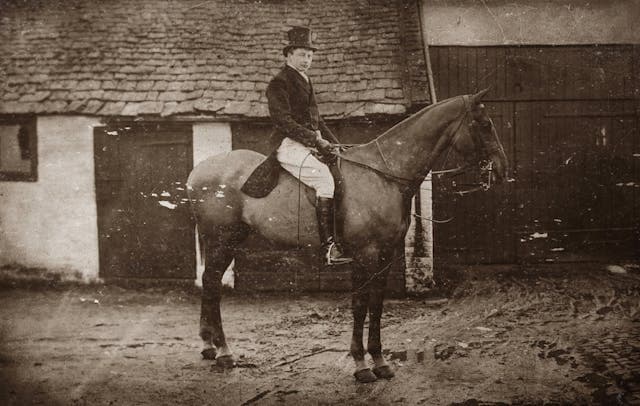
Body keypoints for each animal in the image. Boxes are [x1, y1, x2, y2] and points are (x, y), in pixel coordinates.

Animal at [186, 87, 510, 382]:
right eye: (484, 124)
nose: (502, 170)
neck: (383, 175)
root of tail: (198, 171)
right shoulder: (364, 255)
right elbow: (359, 306)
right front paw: (361, 365)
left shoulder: (386, 255)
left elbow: (376, 306)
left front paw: (380, 361)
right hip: (221, 240)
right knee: (212, 283)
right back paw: (224, 352)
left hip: (229, 240)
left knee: (210, 282)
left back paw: (209, 346)